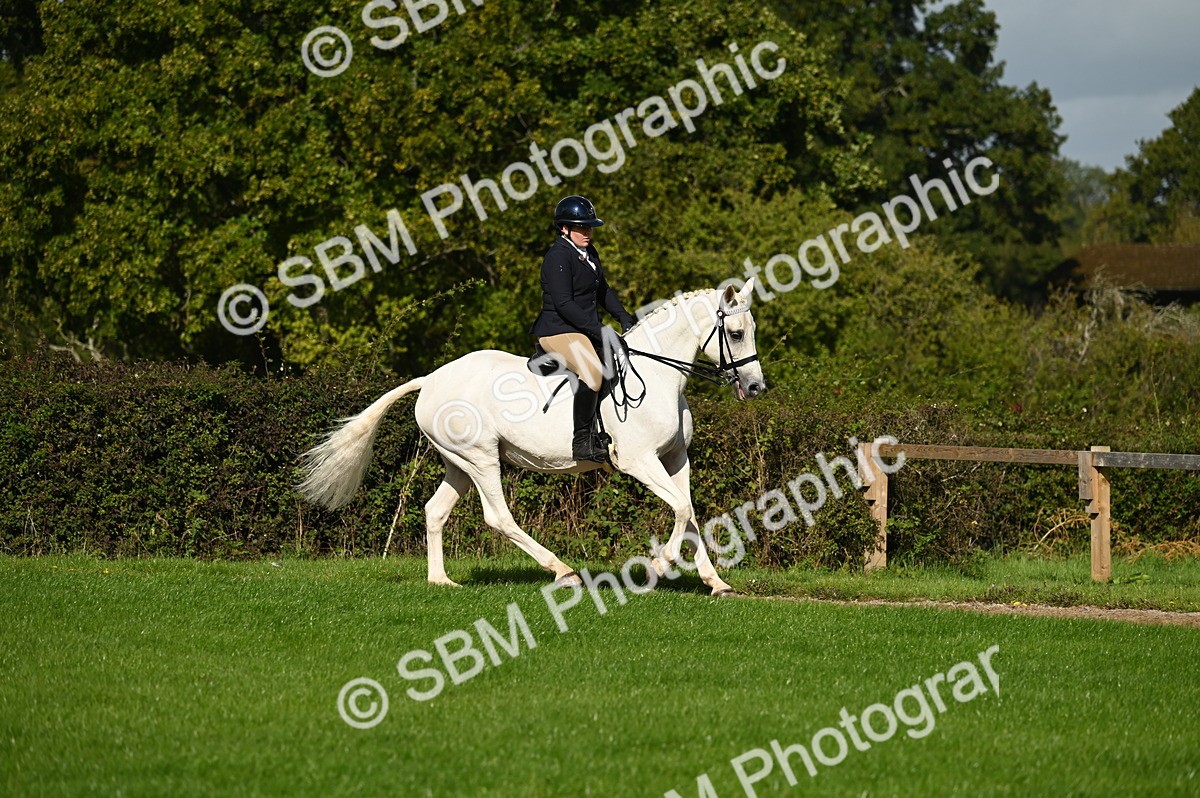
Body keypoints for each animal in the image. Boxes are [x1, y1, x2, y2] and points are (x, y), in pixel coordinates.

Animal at [297, 279, 767, 595]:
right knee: (498, 518)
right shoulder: (640, 461)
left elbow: (689, 512)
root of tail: (431, 379)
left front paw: (716, 582)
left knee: (435, 511)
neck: (657, 375)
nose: (756, 387)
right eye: (736, 333)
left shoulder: (674, 458)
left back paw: (441, 580)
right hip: (482, 458)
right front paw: (657, 565)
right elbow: (682, 509)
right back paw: (564, 571)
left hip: (458, 463)